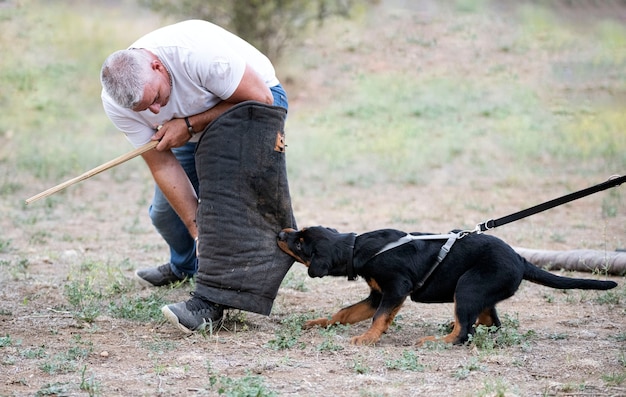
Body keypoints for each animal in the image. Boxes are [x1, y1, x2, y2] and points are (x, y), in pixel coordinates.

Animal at [276, 227, 616, 344]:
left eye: (300, 242)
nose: (281, 232)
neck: (356, 248)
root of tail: (521, 260)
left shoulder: (395, 289)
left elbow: (378, 318)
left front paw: (367, 339)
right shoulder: (377, 294)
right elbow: (346, 312)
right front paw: (320, 323)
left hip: (467, 286)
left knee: (464, 333)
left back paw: (433, 340)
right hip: (479, 292)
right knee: (488, 323)